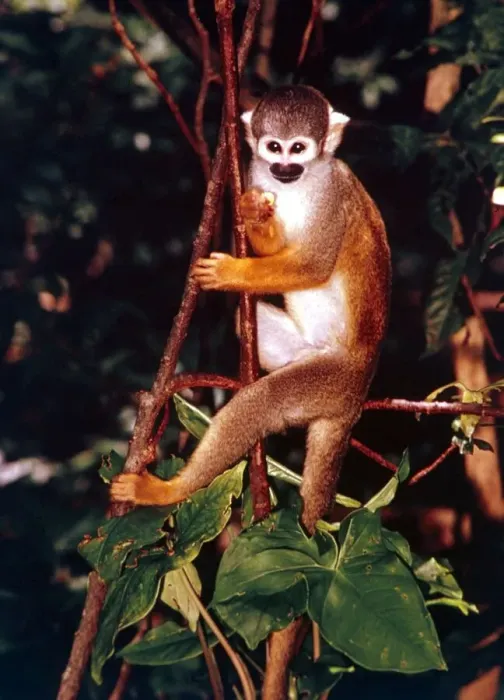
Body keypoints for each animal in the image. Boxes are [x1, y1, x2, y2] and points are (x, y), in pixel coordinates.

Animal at [111, 85, 391, 698]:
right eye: (272, 148)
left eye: (300, 149)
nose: (284, 169)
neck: (302, 186)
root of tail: (357, 394)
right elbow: (276, 250)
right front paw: (254, 217)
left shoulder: (333, 196)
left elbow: (311, 263)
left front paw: (236, 273)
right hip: (304, 354)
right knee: (252, 329)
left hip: (326, 380)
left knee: (265, 404)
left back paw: (170, 489)